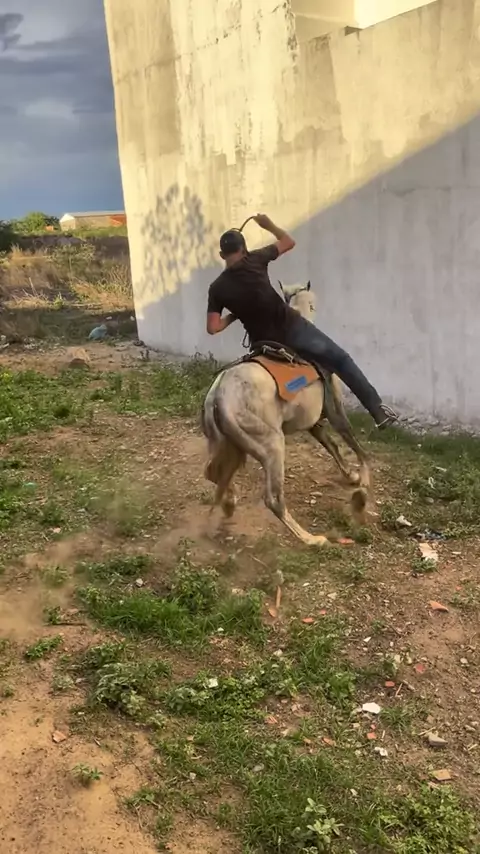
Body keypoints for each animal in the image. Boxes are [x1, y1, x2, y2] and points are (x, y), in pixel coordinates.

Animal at [201, 281, 370, 546]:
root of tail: (219, 395)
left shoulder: (313, 422)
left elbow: (331, 445)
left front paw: (351, 475)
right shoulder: (334, 409)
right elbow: (350, 439)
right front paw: (363, 477)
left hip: (224, 445)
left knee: (212, 473)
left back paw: (229, 504)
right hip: (272, 446)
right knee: (273, 500)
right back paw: (311, 539)